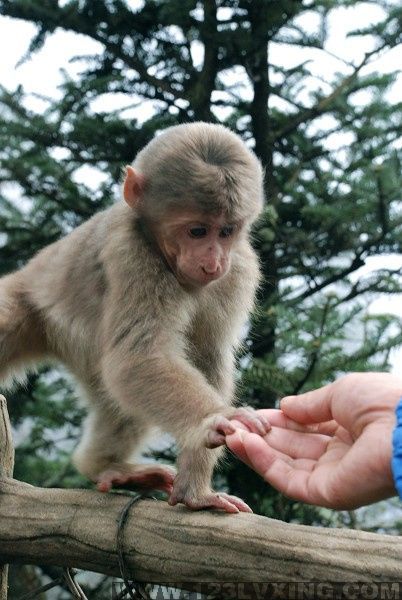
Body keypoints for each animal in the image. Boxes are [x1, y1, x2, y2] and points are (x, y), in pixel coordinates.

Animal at [1, 120, 270, 510]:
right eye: (197, 231)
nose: (213, 261)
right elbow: (137, 357)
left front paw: (195, 490)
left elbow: (205, 358)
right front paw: (213, 419)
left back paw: (105, 466)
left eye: (226, 231)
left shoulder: (239, 271)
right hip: (27, 305)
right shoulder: (131, 254)